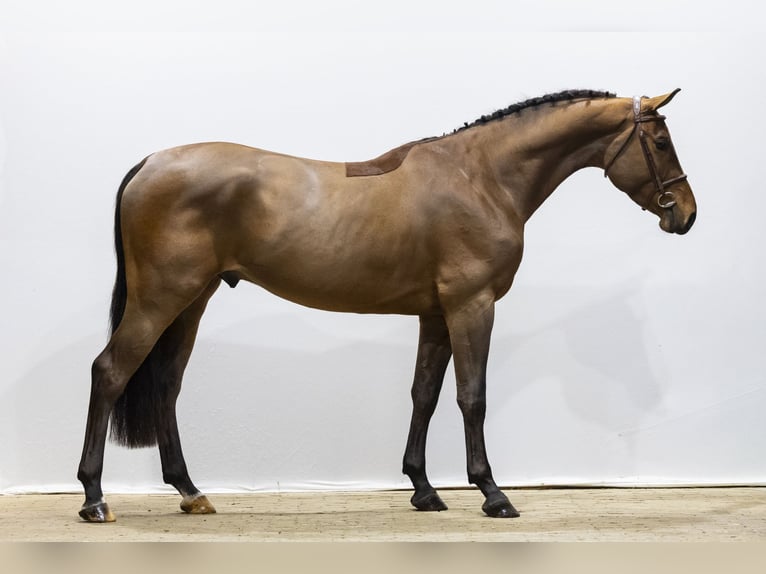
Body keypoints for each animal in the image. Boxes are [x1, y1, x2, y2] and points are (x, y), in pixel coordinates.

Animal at [77, 89, 696, 522]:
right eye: (661, 142)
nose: (686, 214)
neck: (481, 177)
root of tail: (151, 163)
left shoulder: (436, 314)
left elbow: (424, 394)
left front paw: (423, 489)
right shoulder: (472, 306)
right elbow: (472, 396)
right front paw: (492, 493)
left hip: (192, 301)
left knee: (165, 384)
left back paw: (190, 492)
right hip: (161, 298)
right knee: (109, 372)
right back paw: (94, 498)